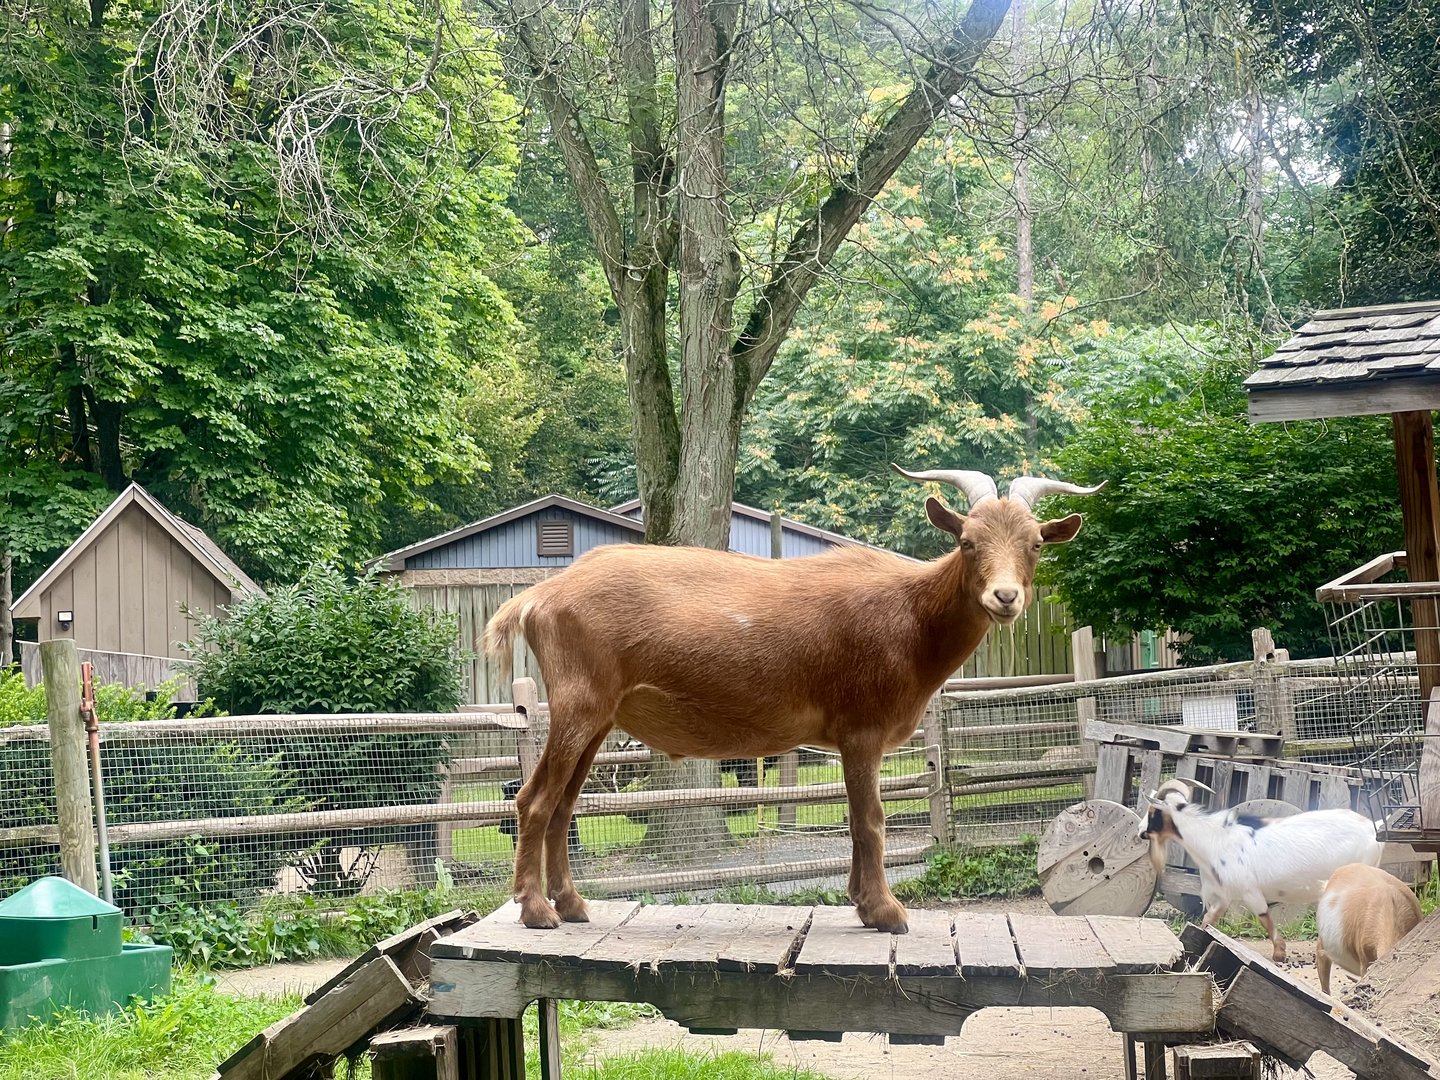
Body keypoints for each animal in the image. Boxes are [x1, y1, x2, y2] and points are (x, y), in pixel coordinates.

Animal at [483, 467, 1102, 931]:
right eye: (967, 541)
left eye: (1036, 544)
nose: (1005, 597)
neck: (911, 614)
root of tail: (539, 597)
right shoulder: (862, 729)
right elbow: (870, 818)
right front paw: (886, 911)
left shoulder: (852, 739)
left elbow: (855, 817)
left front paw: (859, 901)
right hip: (578, 705)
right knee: (534, 800)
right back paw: (537, 911)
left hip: (597, 719)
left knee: (565, 805)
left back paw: (573, 904)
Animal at [1141, 780, 1383, 961]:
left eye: (1152, 811)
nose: (1140, 831)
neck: (1215, 838)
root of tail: (1373, 828)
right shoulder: (1223, 895)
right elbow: (1209, 919)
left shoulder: (1249, 890)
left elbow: (1264, 916)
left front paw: (1279, 953)